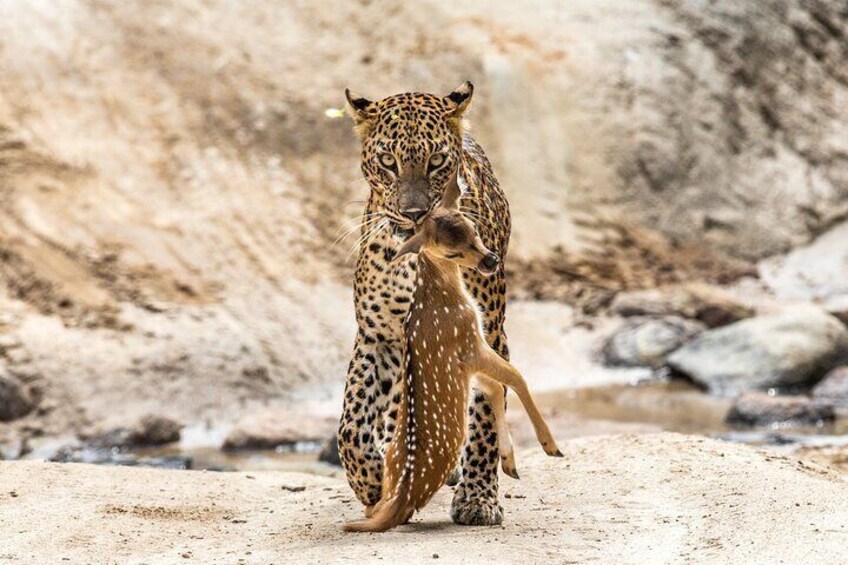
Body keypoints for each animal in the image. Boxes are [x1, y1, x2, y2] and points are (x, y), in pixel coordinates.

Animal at [337, 81, 512, 526]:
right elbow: (352, 422)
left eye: (436, 162)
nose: (414, 213)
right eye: (388, 161)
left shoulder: (486, 334)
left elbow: (485, 414)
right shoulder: (378, 336)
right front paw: (371, 482)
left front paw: (478, 498)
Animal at [343, 174, 562, 533]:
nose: (491, 260)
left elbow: (495, 387)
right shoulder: (470, 342)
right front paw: (548, 447)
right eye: (451, 250)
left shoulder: (470, 356)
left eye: (474, 230)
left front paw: (510, 462)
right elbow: (515, 378)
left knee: (377, 504)